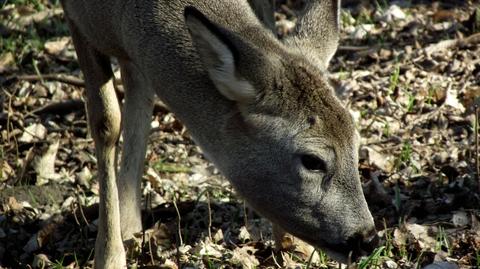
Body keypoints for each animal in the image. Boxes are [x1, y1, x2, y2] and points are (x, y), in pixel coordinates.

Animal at [60, 0, 376, 266]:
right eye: (312, 160)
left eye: (356, 142)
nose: (367, 238)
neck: (118, 15)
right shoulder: (74, 15)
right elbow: (106, 121)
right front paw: (109, 257)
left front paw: (291, 245)